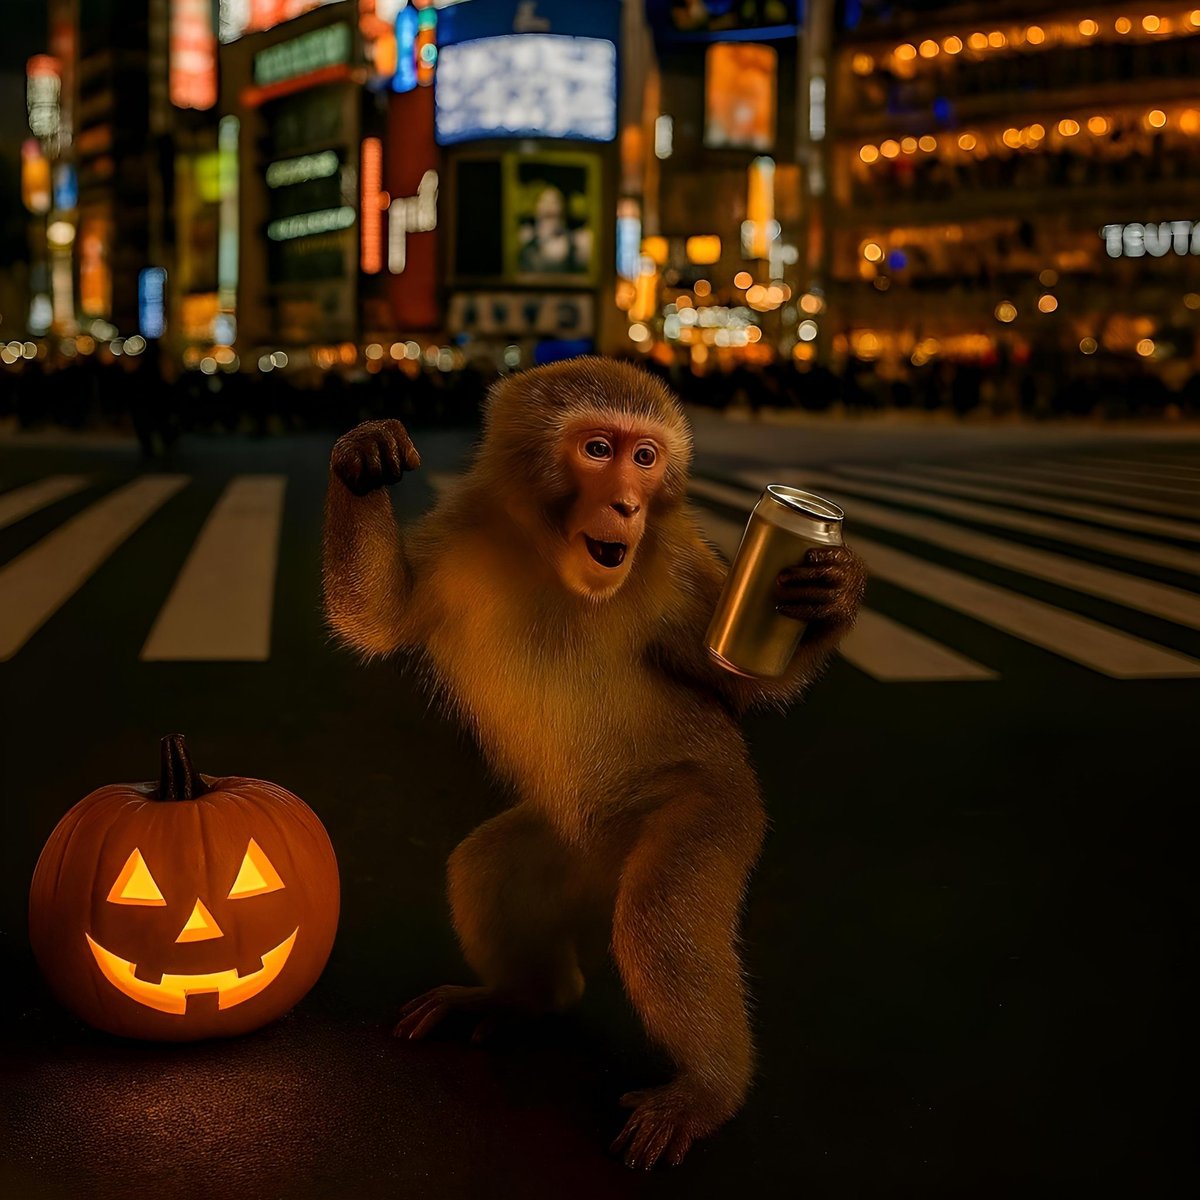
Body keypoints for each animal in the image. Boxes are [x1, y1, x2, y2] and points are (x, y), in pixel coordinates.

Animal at [322, 358, 866, 1170]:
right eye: (600, 449)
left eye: (646, 457)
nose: (628, 504)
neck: (557, 565)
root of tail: (605, 868)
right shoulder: (461, 537)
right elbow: (377, 617)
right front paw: (363, 457)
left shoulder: (674, 564)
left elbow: (732, 679)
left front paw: (832, 594)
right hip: (563, 845)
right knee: (488, 870)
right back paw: (522, 1000)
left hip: (713, 807)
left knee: (657, 915)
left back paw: (707, 1091)